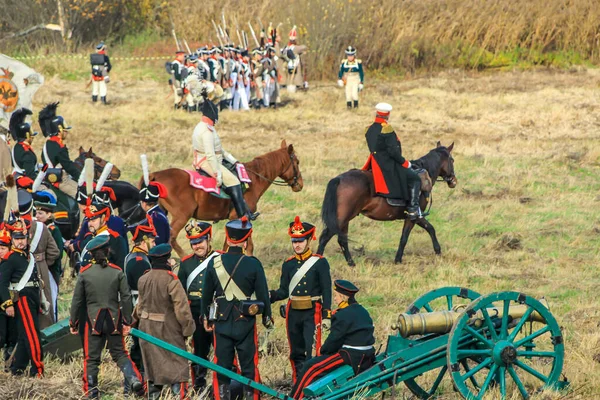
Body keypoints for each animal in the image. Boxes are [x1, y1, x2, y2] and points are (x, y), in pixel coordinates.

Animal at [146, 139, 304, 255]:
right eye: (297, 162)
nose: (300, 185)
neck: (253, 179)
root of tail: (156, 175)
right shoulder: (241, 219)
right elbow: (247, 245)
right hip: (181, 216)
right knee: (170, 238)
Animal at [318, 141, 454, 266]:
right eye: (452, 160)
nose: (453, 180)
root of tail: (338, 179)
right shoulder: (413, 216)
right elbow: (405, 237)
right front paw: (398, 260)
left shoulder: (418, 217)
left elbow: (430, 228)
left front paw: (438, 251)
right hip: (342, 218)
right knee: (326, 237)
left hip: (345, 219)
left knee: (342, 239)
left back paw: (351, 263)